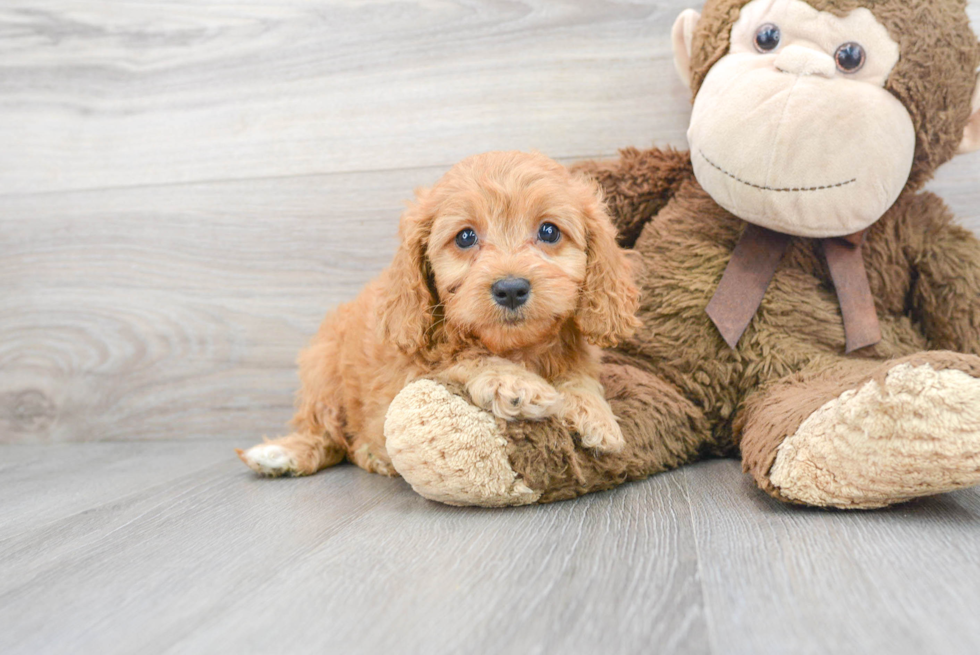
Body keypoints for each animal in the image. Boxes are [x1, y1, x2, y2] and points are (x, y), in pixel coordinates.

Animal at [239, 151, 644, 476]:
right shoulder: (413, 366)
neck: (515, 347)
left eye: (549, 231)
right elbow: (463, 358)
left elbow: (579, 376)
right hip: (322, 368)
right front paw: (514, 383)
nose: (511, 288)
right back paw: (289, 453)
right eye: (465, 237)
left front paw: (596, 415)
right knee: (327, 436)